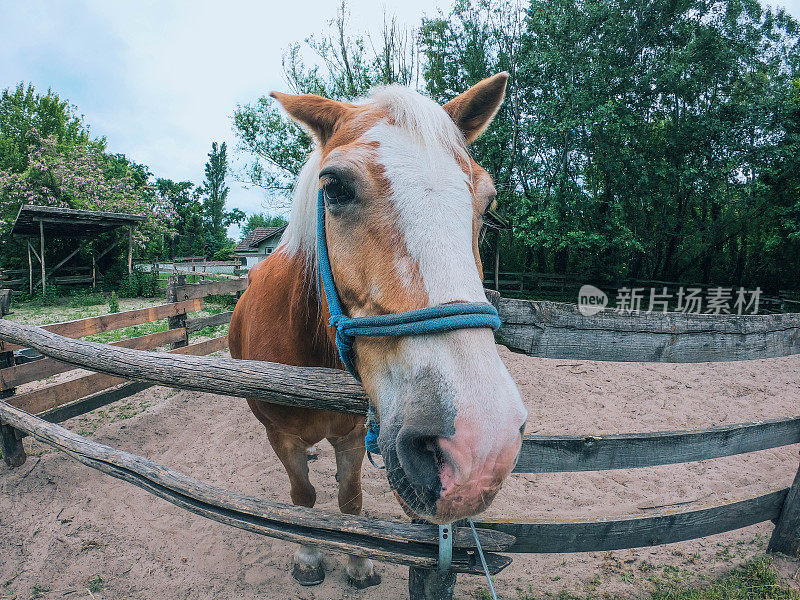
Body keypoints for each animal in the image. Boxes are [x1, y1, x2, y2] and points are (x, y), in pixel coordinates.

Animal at [228, 72, 528, 588]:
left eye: (486, 200)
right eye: (335, 189)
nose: (478, 447)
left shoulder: (351, 437)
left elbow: (349, 502)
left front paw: (358, 562)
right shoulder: (281, 437)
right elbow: (303, 502)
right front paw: (309, 556)